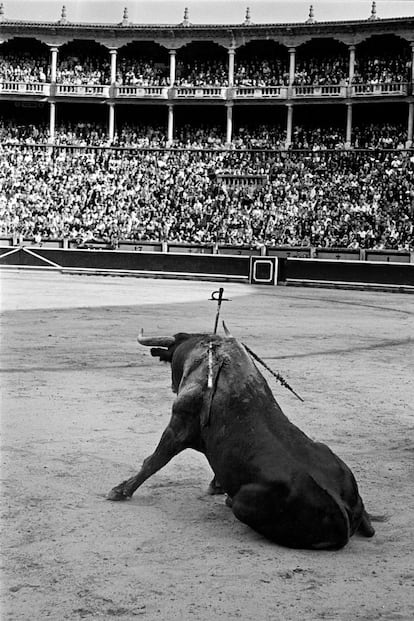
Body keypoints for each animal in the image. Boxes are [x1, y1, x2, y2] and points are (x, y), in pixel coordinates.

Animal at [107, 332, 376, 548]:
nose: (172, 385)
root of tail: (342, 507)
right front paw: (215, 485)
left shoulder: (178, 426)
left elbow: (154, 461)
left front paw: (120, 491)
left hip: (243, 505)